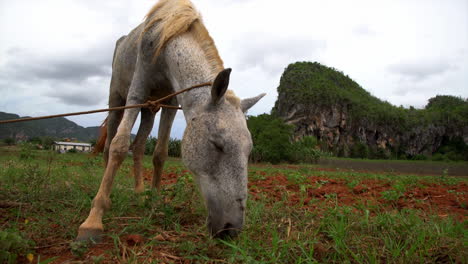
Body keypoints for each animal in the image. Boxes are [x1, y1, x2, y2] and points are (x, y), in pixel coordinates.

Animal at [78, 0, 266, 241]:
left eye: (249, 150)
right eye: (217, 144)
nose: (230, 229)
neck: (167, 38)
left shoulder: (171, 102)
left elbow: (160, 153)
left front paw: (154, 201)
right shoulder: (137, 91)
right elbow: (119, 147)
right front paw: (93, 220)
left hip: (149, 109)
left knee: (138, 146)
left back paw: (139, 192)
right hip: (117, 100)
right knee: (110, 143)